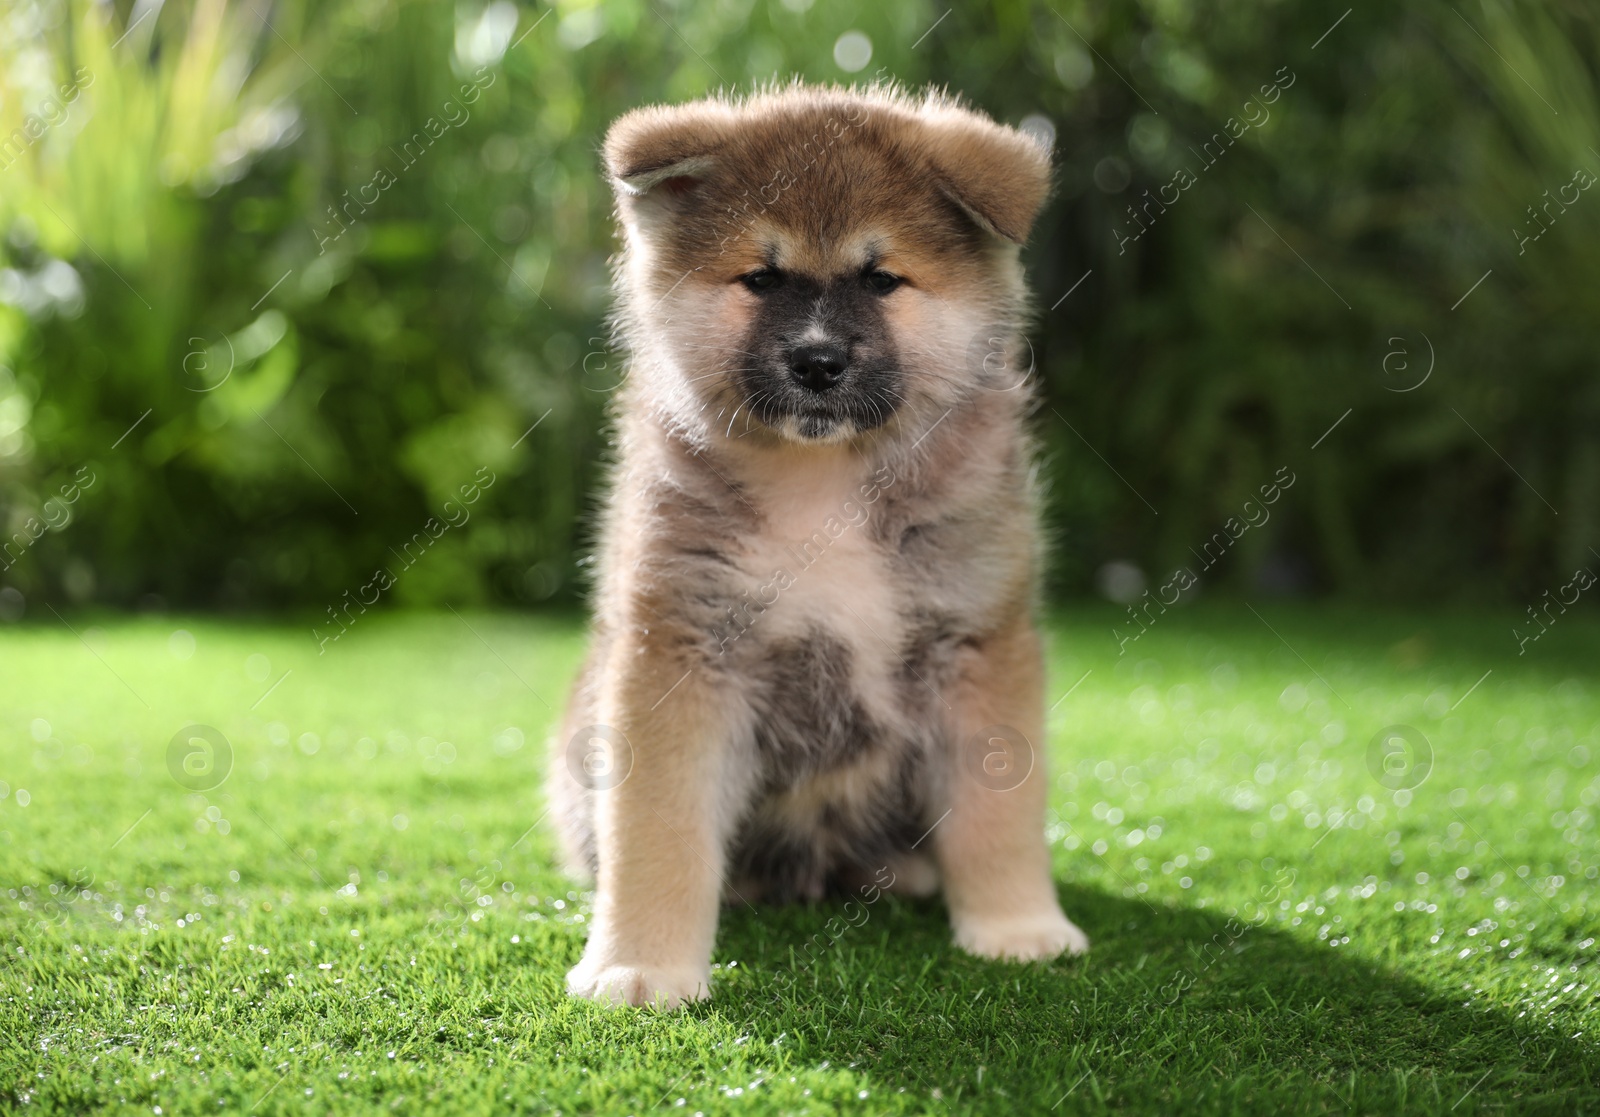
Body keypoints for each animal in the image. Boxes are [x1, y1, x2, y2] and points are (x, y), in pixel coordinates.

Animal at [550, 84, 1088, 1011]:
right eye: (763, 278)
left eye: (880, 278)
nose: (818, 359)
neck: (825, 485)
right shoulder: (683, 645)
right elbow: (657, 827)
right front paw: (641, 965)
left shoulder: (976, 640)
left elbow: (997, 815)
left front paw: (1017, 926)